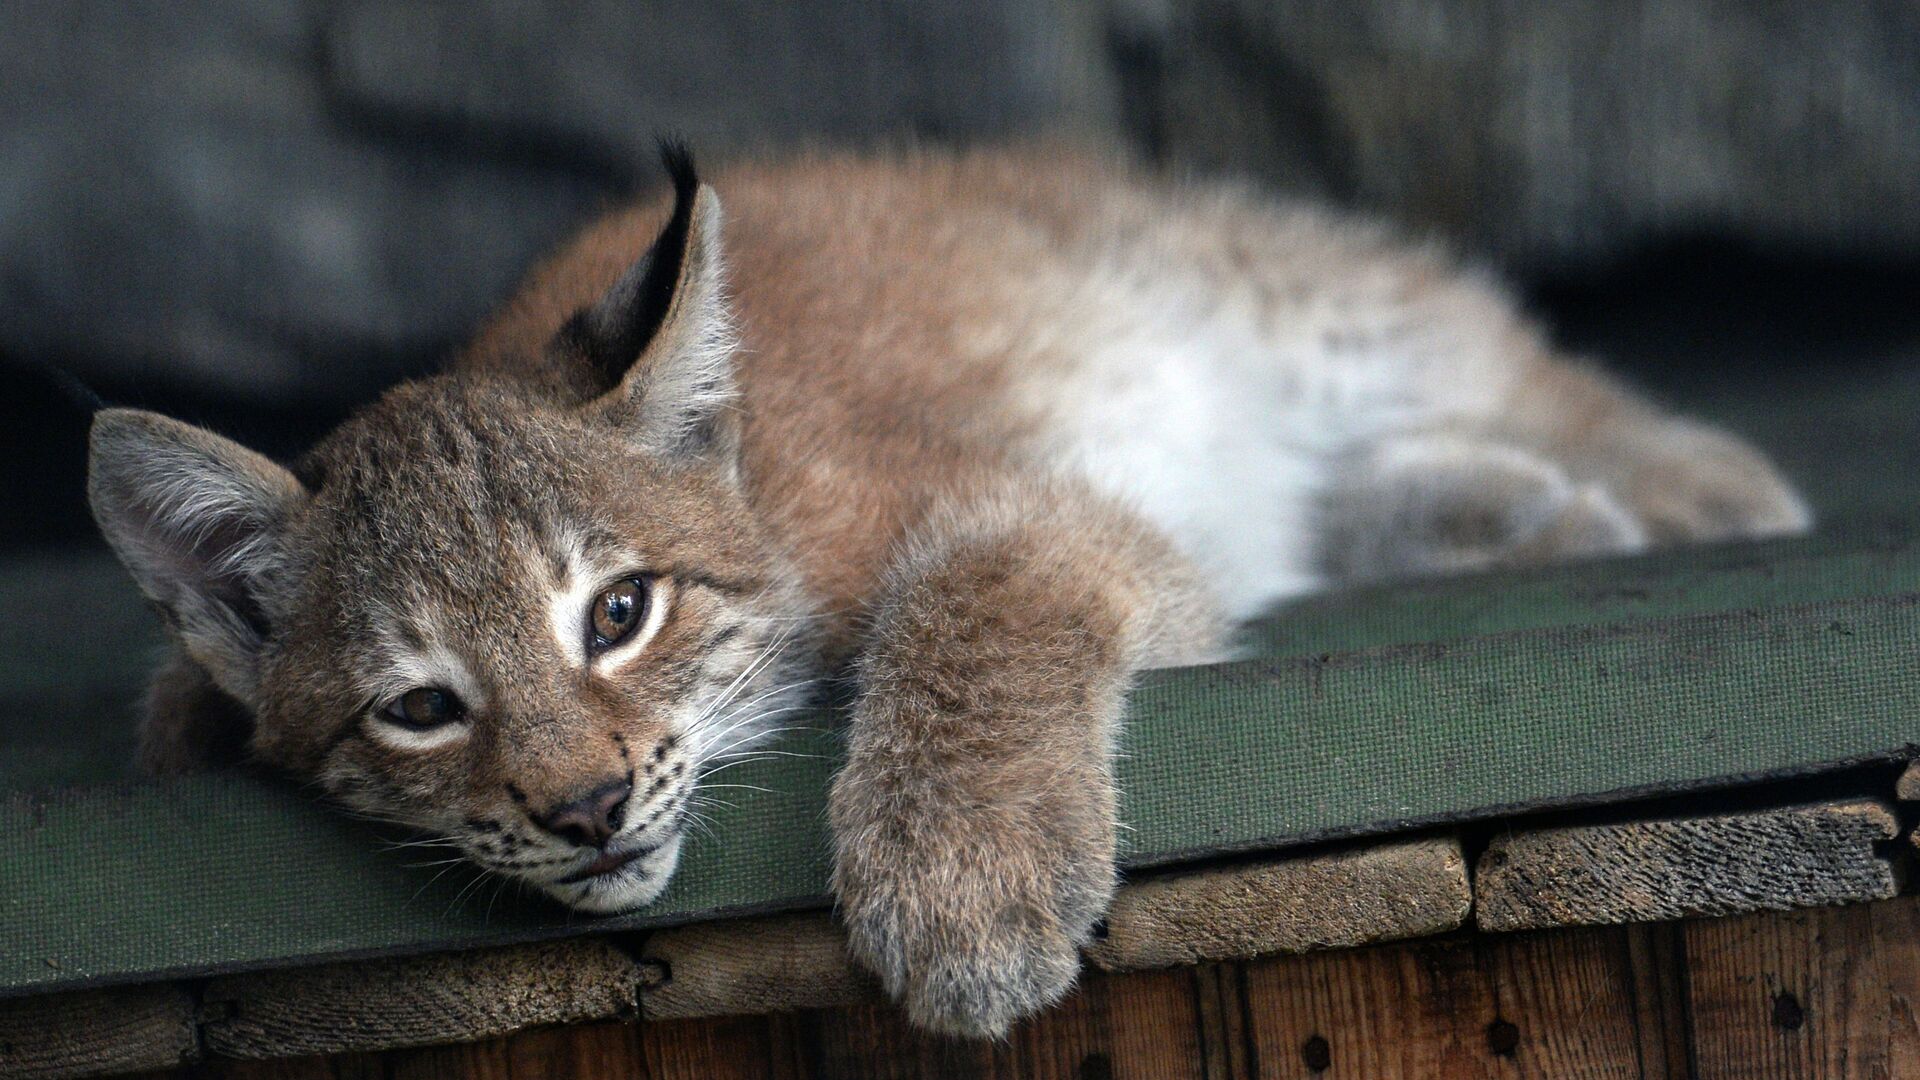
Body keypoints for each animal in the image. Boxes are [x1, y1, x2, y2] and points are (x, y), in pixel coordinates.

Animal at [86, 145, 1797, 1037]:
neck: (756, 504)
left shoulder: (1040, 502)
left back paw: (1687, 478)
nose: (583, 811)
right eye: (423, 710)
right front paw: (186, 714)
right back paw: (1505, 512)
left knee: (1500, 352)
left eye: (618, 616)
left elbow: (975, 607)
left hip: (1280, 296)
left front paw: (963, 881)